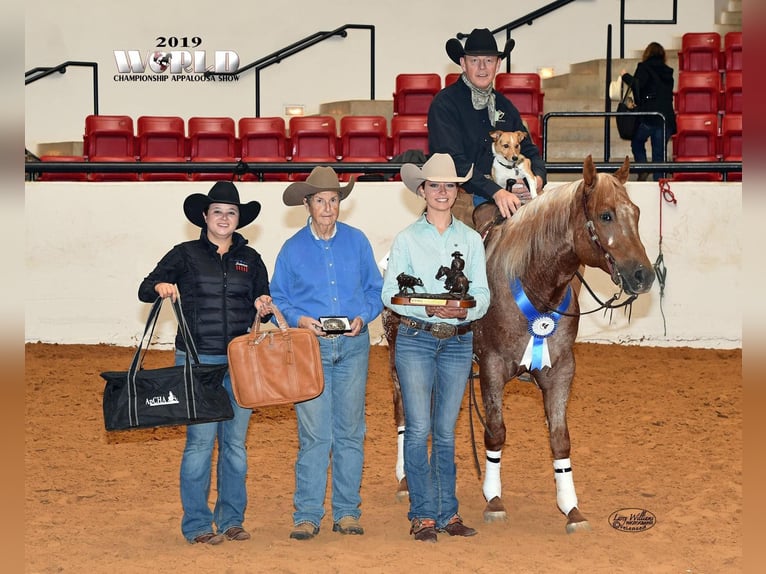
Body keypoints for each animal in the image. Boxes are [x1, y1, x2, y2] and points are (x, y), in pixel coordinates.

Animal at [384, 156, 656, 536]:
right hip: (398, 360)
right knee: (403, 413)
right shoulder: (492, 368)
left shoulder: (561, 371)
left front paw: (571, 507)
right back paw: (405, 479)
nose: (643, 276)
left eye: (637, 212)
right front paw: (494, 499)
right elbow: (496, 433)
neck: (534, 283)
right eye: (605, 215)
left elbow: (560, 438)